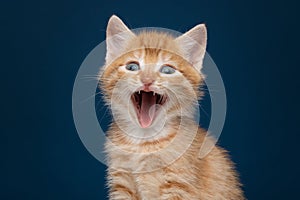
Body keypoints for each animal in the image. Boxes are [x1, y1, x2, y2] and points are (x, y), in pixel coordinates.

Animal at [99, 15, 245, 200]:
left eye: (167, 70)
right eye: (132, 67)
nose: (147, 80)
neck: (143, 141)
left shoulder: (179, 186)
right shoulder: (122, 184)